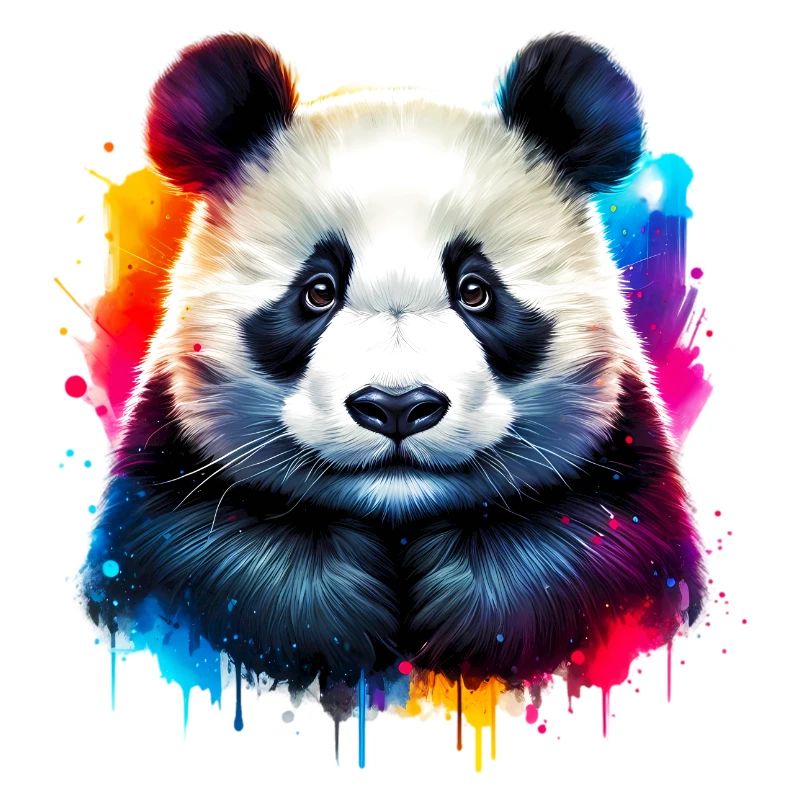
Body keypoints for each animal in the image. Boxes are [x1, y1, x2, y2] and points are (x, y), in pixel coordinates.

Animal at [83, 32, 705, 697]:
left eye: (476, 290)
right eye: (318, 291)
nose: (398, 407)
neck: (397, 515)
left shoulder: (623, 456)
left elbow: (600, 543)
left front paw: (467, 609)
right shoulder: (168, 465)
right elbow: (196, 549)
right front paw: (334, 617)